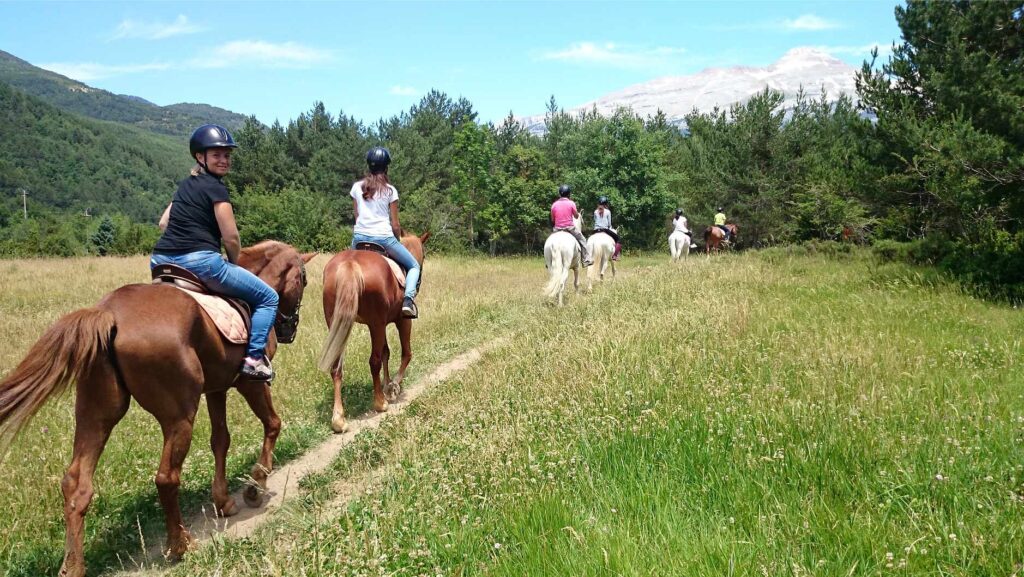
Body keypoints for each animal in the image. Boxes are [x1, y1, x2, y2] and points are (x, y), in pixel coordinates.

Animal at [0, 240, 315, 577]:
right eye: (304, 280)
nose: (288, 330)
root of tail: (109, 314)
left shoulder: (216, 388)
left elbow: (221, 441)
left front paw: (223, 501)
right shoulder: (250, 383)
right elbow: (273, 423)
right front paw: (255, 485)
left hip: (95, 413)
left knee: (76, 484)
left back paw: (73, 566)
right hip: (178, 416)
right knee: (166, 478)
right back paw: (180, 545)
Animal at [319, 230, 432, 434]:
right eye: (424, 255)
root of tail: (350, 263)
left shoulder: (383, 324)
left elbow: (386, 352)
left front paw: (387, 385)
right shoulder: (402, 321)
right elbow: (406, 353)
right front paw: (393, 387)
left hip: (338, 324)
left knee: (336, 367)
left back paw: (338, 419)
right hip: (375, 324)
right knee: (374, 361)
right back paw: (380, 403)